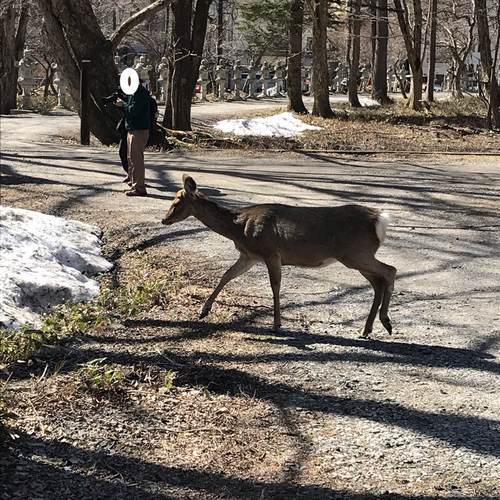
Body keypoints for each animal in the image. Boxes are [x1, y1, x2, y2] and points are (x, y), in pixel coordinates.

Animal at [162, 174, 396, 338]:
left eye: (177, 202)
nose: (164, 219)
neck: (239, 228)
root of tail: (380, 220)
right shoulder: (249, 256)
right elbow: (227, 275)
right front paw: (204, 310)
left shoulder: (270, 252)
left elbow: (275, 285)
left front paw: (277, 325)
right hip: (356, 256)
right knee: (378, 282)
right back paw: (367, 329)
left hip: (356, 253)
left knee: (390, 270)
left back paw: (385, 321)